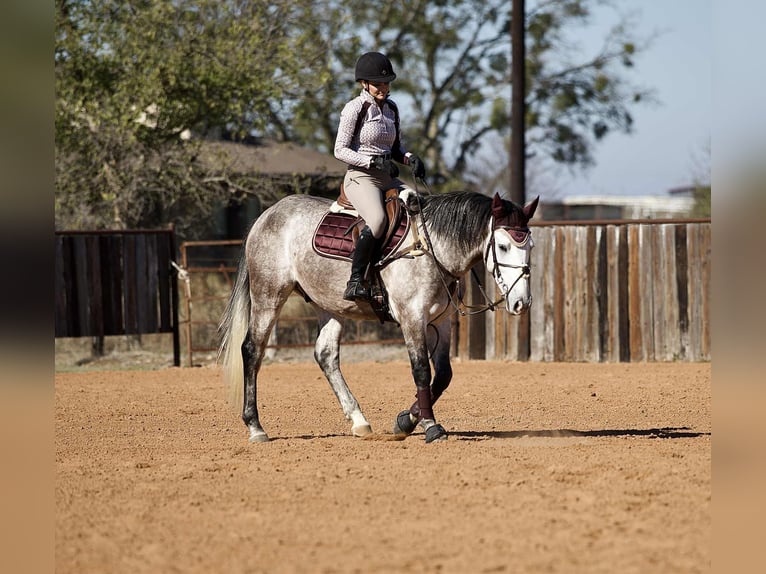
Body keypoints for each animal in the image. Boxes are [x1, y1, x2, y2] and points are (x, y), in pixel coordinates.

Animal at [218, 190, 539, 443]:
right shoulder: (412, 319)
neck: (430, 248)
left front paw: (405, 421)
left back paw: (359, 421)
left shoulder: (441, 322)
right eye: (503, 246)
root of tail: (267, 215)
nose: (522, 302)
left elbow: (443, 375)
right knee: (252, 350)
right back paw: (255, 426)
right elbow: (422, 371)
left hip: (329, 306)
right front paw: (430, 426)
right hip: (268, 295)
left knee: (326, 355)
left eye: (530, 246)